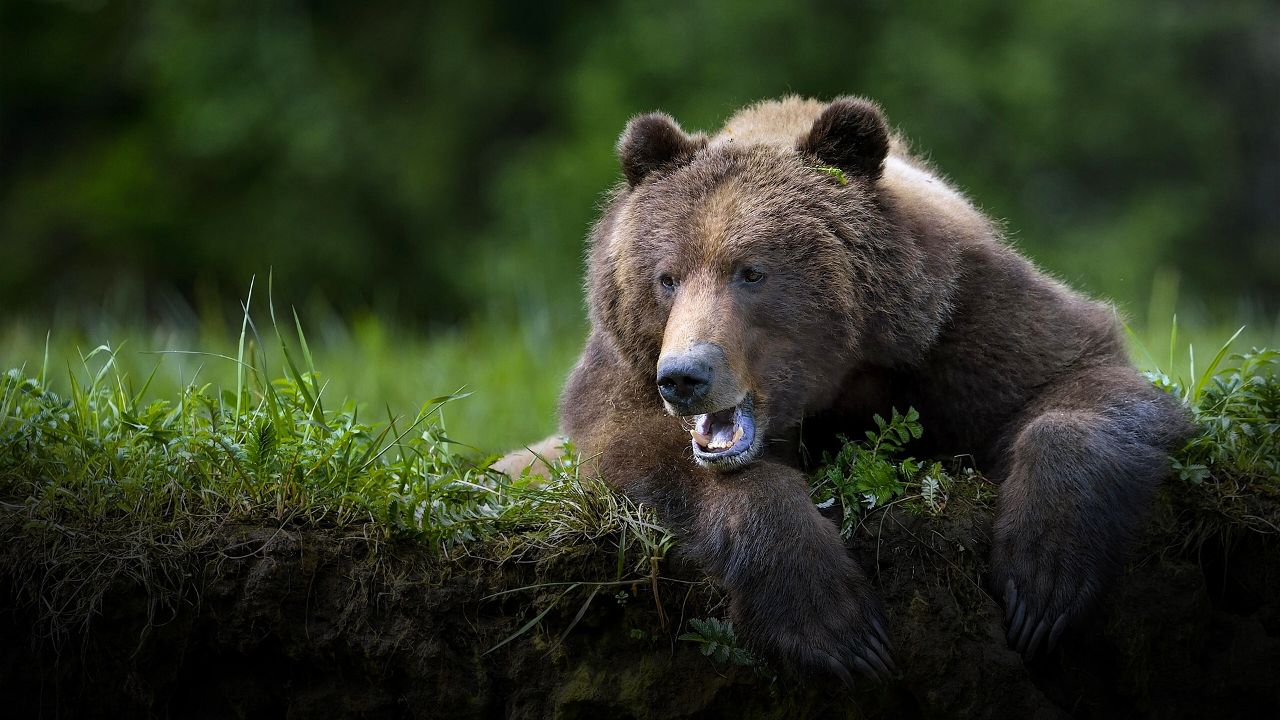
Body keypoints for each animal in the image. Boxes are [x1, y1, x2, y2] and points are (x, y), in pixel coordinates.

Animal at [496, 95, 1187, 681]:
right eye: (667, 277)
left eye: (751, 272)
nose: (684, 378)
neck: (839, 380)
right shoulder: (623, 374)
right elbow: (643, 453)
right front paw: (838, 626)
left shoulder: (963, 320)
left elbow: (1076, 379)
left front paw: (1042, 579)